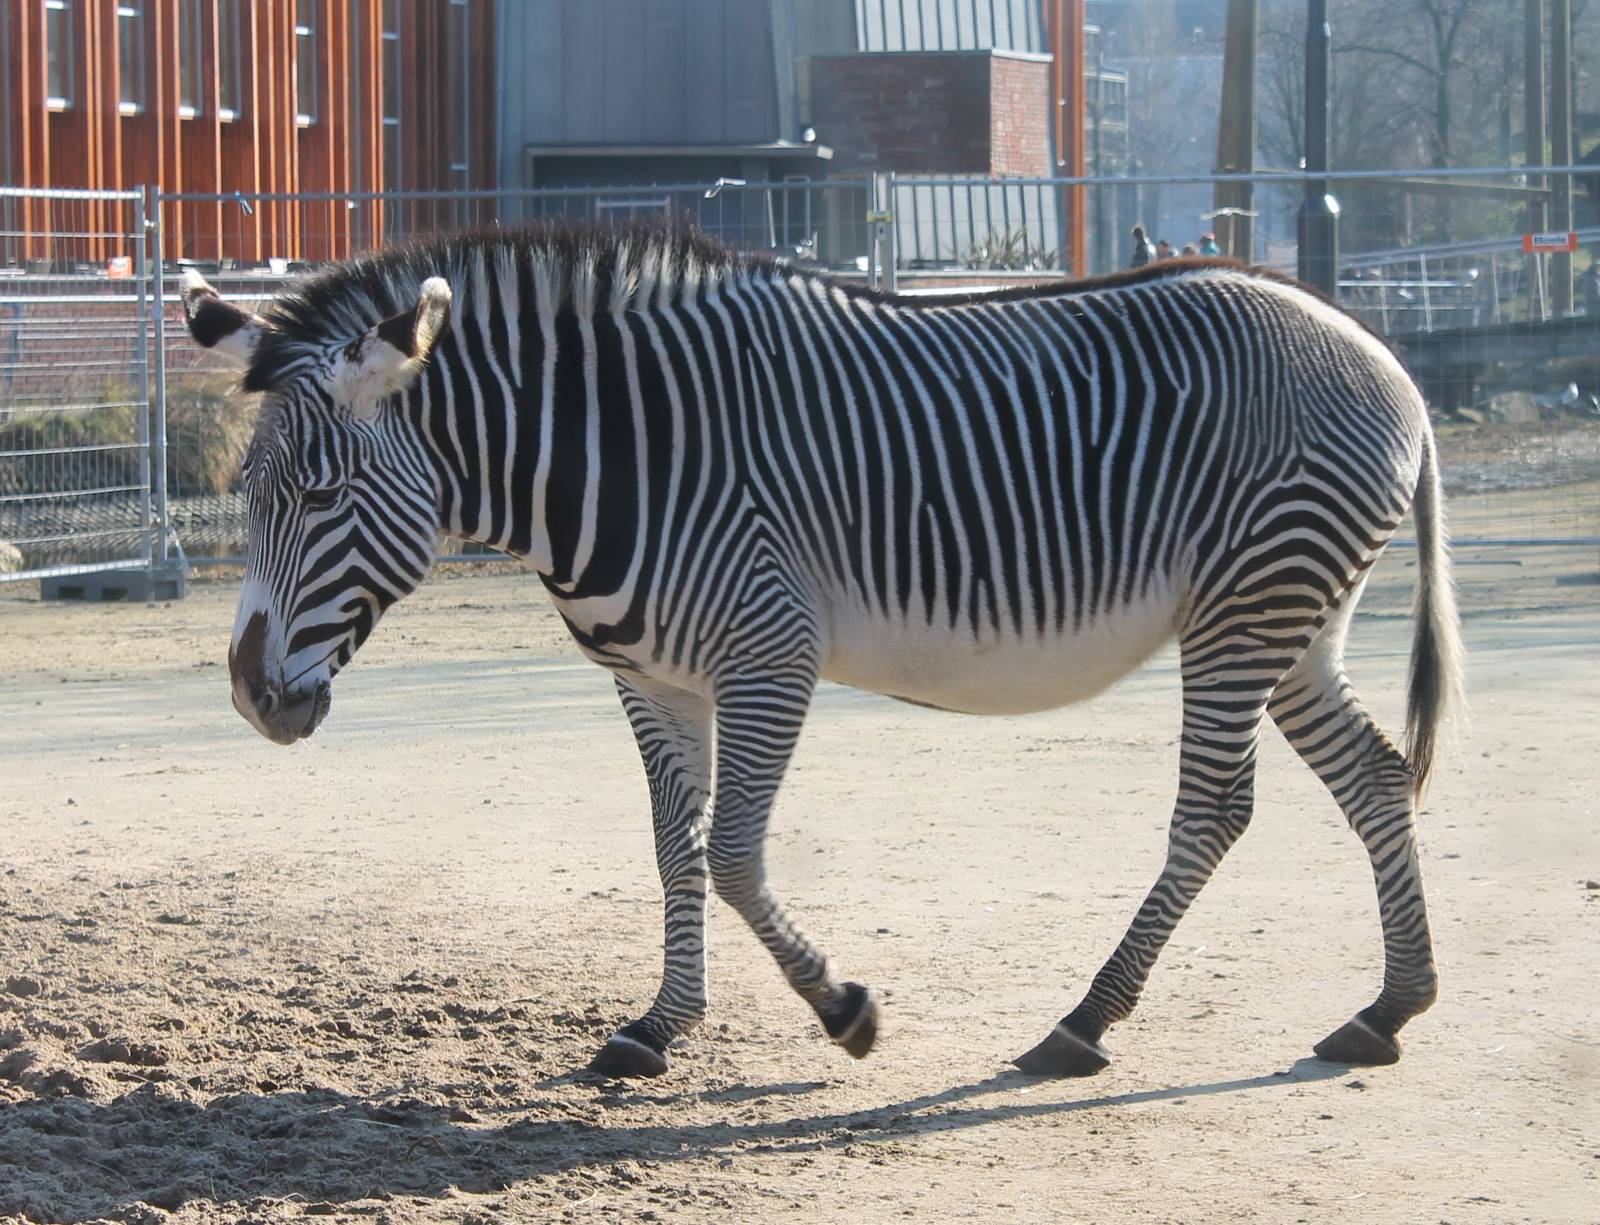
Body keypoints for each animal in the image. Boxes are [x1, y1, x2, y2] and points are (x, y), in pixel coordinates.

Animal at [182, 224, 1461, 1080]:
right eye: (244, 490)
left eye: (322, 492)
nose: (249, 698)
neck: (619, 453)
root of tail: (1377, 348)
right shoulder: (650, 677)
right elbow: (673, 849)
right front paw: (658, 1026)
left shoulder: (768, 657)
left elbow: (735, 855)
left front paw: (844, 1009)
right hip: (1294, 621)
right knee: (1375, 773)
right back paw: (1389, 1007)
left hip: (1247, 608)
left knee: (1215, 809)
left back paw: (1081, 1023)